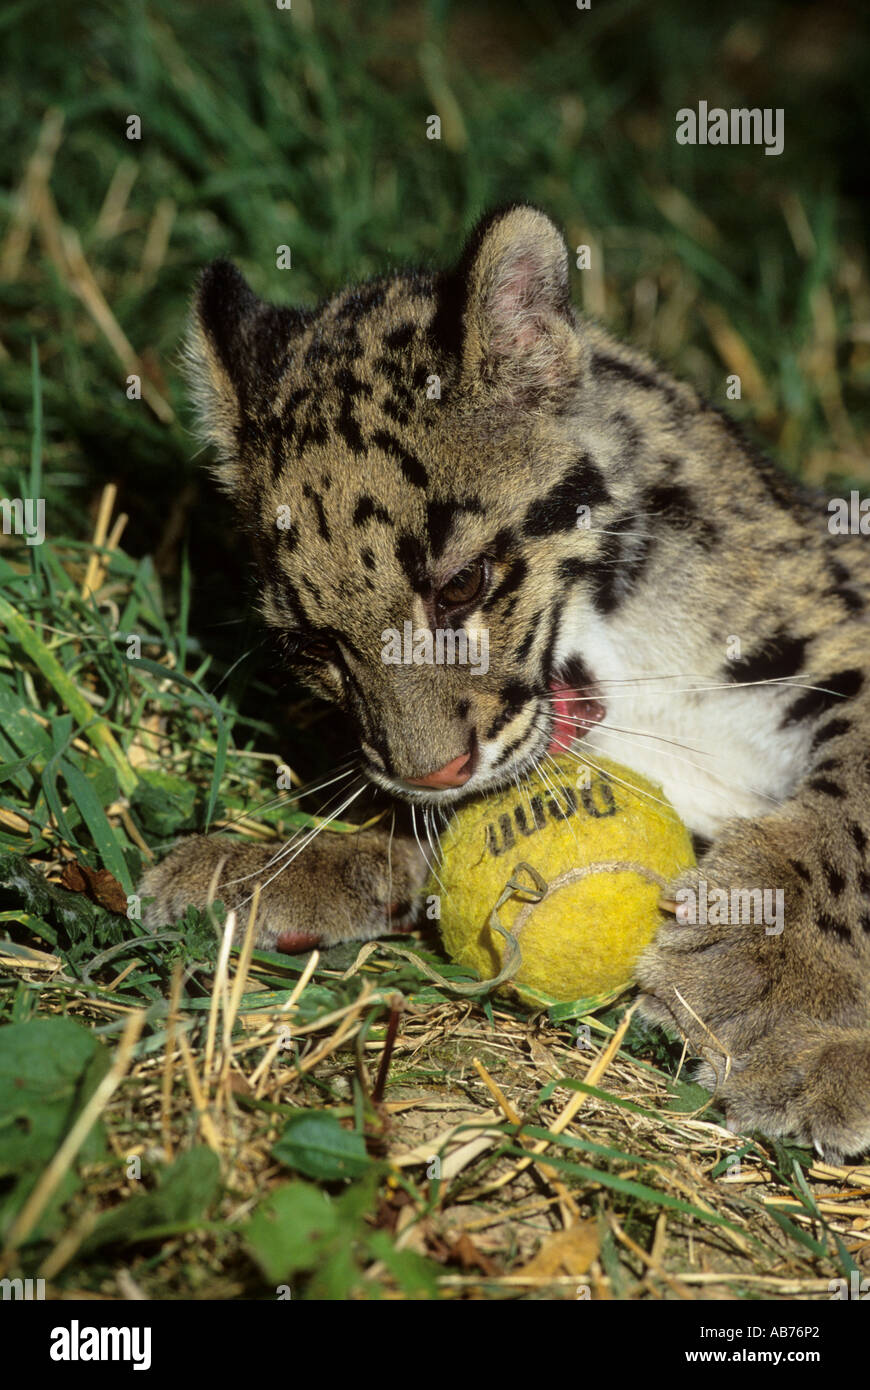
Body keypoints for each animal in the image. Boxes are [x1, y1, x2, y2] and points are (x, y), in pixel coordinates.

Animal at [141, 204, 870, 1162]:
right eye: (311, 644)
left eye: (461, 585)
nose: (430, 772)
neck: (626, 653)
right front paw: (276, 864)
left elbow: (852, 801)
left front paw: (787, 995)